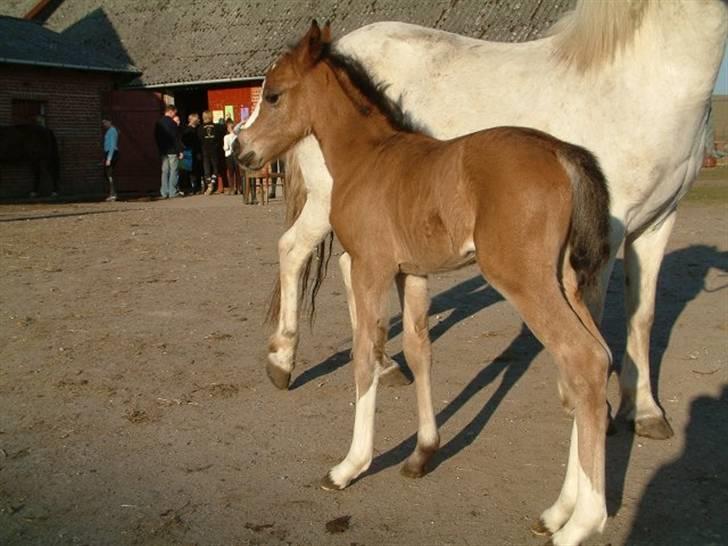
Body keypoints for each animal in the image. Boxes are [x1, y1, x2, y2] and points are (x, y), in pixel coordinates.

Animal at [239, 21, 614, 545]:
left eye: (272, 95)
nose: (241, 151)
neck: (366, 157)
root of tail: (563, 153)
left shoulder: (371, 267)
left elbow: (365, 355)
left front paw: (350, 466)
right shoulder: (411, 272)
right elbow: (419, 351)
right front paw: (422, 453)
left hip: (525, 280)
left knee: (583, 359)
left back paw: (582, 522)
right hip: (565, 281)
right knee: (593, 360)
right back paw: (558, 510)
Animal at [262, 1, 728, 441]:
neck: (638, 84)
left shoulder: (656, 225)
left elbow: (642, 317)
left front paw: (645, 411)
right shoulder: (606, 236)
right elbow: (594, 316)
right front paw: (590, 407)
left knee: (344, 265)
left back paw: (385, 366)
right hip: (326, 202)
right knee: (293, 250)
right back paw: (282, 362)